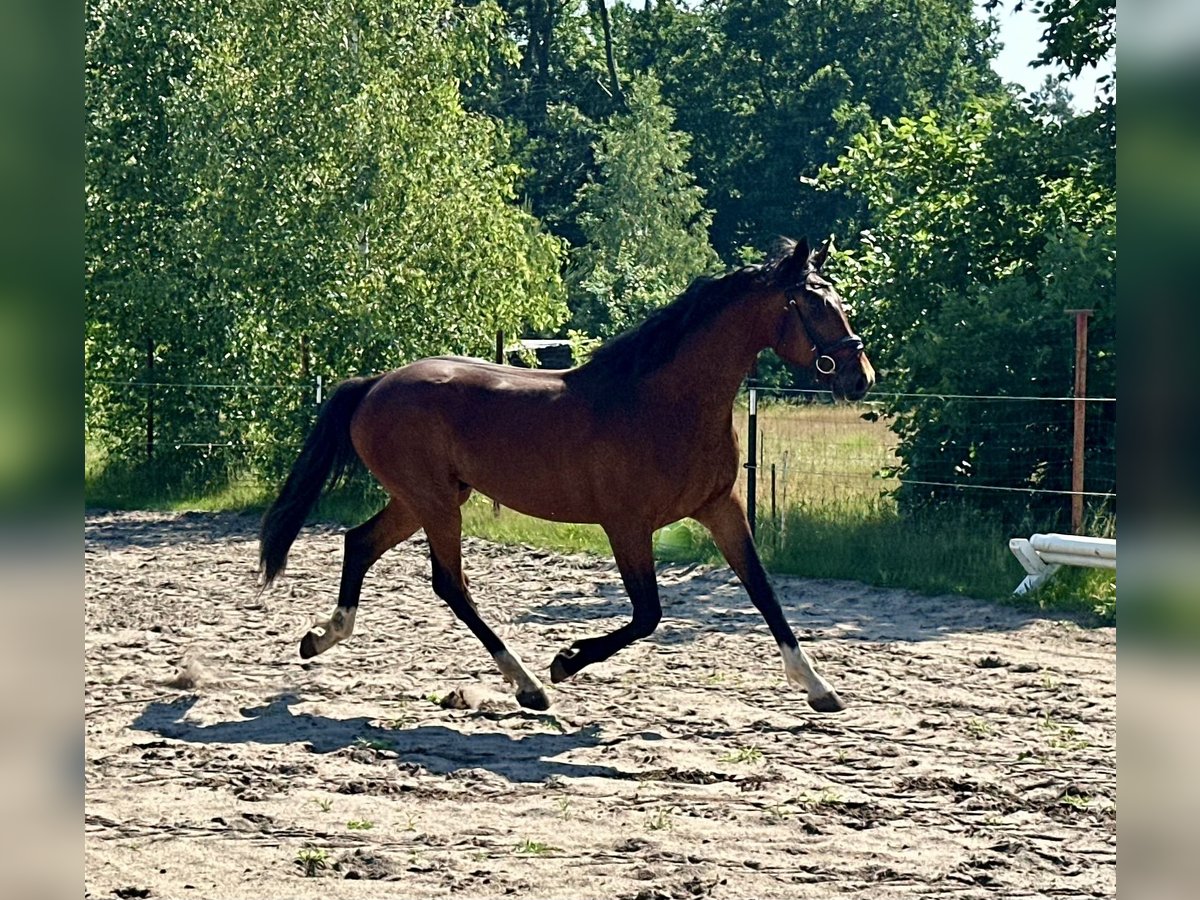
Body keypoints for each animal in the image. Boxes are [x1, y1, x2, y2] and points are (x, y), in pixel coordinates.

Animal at [259, 236, 875, 713]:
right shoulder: (627, 526)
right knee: (449, 584)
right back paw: (531, 685)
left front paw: (818, 687)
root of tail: (375, 384)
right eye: (813, 303)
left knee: (360, 543)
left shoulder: (721, 507)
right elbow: (648, 614)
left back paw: (321, 639)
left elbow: (764, 591)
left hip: (423, 499)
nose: (860, 376)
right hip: (434, 502)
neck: (665, 403)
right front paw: (567, 660)